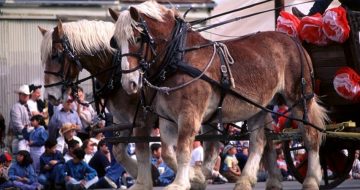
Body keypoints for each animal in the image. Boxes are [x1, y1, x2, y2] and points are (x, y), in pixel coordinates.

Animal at [112, 0, 330, 189]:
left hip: (300, 98)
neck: (178, 58)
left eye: (137, 38)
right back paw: (249, 180)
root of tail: (293, 40)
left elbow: (183, 149)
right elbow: (167, 152)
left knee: (310, 135)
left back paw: (311, 179)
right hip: (258, 105)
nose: (128, 83)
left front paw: (182, 182)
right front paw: (196, 176)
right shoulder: (166, 118)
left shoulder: (189, 114)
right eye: (115, 43)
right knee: (260, 141)